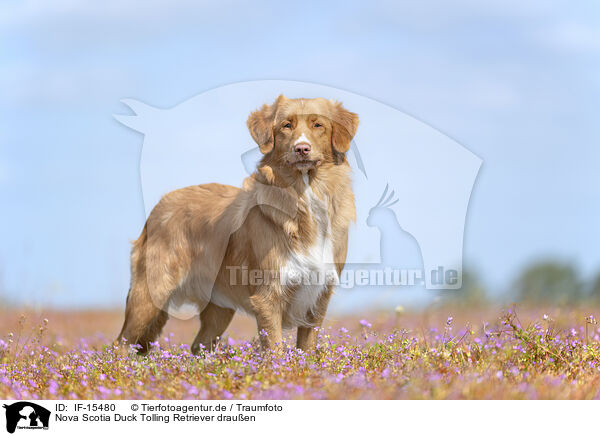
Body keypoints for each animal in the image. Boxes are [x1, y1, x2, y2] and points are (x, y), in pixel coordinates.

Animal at [119, 93, 358, 352]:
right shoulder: (268, 295)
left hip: (218, 309)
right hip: (150, 294)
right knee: (120, 345)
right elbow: (275, 351)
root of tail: (160, 204)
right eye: (286, 125)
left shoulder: (317, 298)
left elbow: (306, 350)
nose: (302, 149)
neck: (304, 195)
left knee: (198, 346)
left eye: (318, 125)